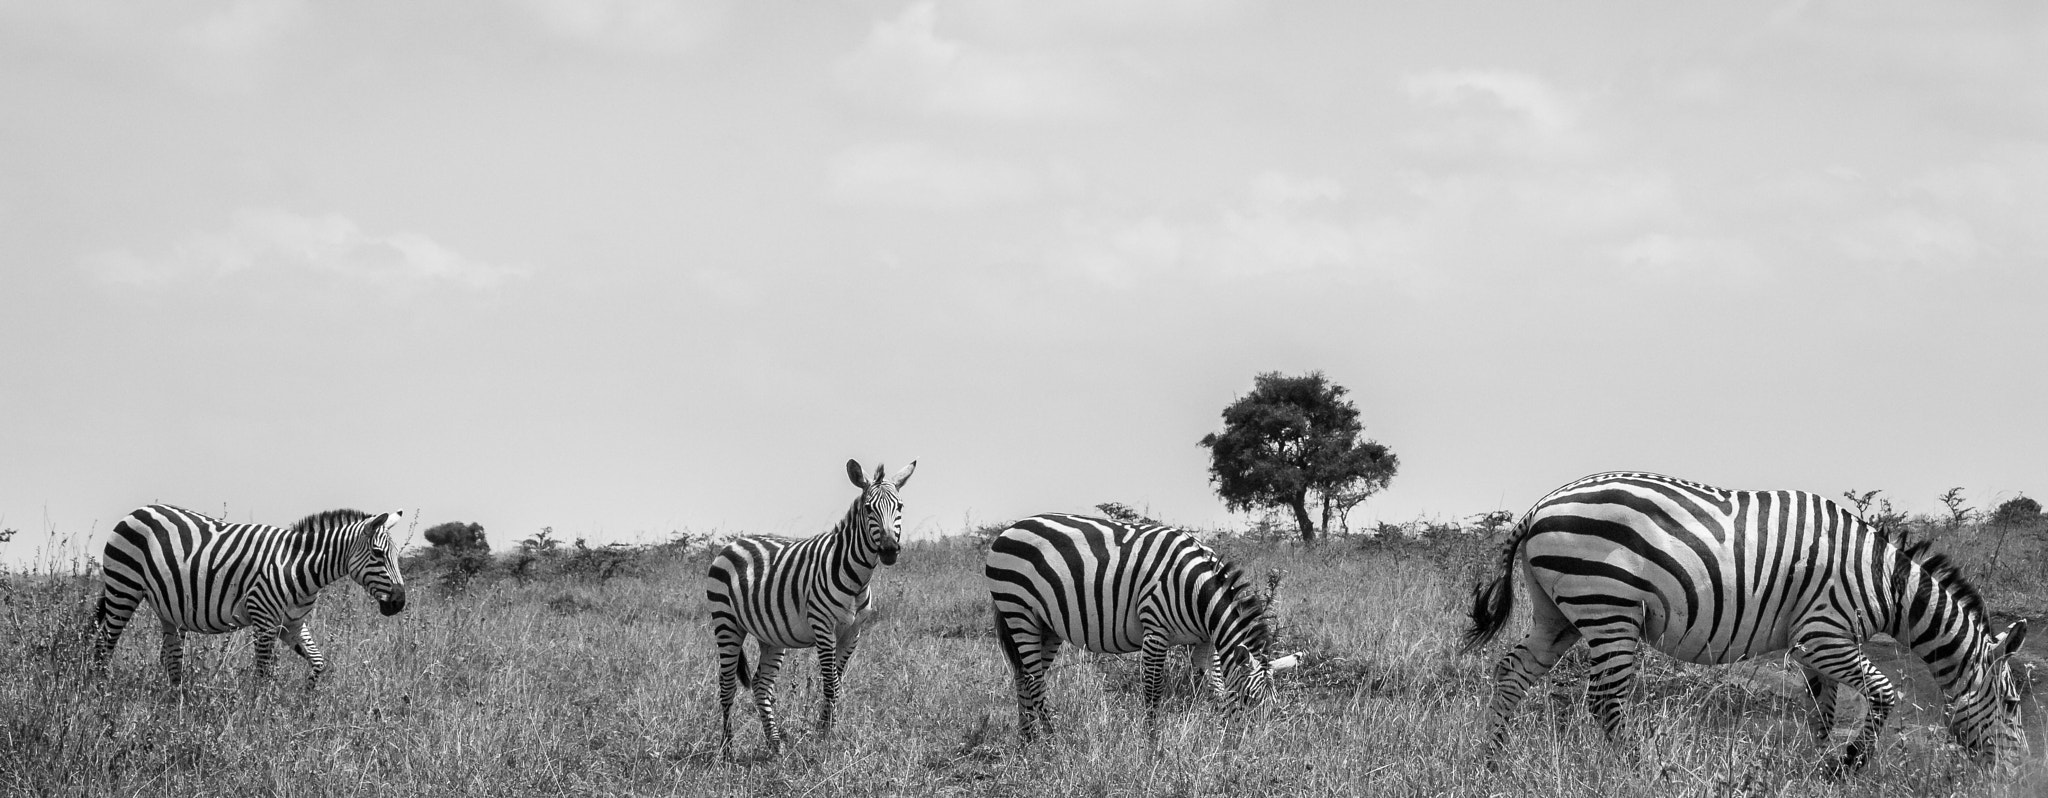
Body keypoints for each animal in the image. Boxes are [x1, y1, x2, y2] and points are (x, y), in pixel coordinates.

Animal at [93, 504, 409, 684]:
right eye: (378, 554)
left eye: (395, 554)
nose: (399, 602)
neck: (298, 565)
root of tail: (138, 510)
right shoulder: (264, 619)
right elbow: (264, 674)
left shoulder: (293, 624)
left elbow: (318, 663)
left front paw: (308, 703)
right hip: (123, 587)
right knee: (103, 646)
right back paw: (101, 695)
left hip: (169, 610)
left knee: (172, 659)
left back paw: (176, 705)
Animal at [705, 459, 916, 754]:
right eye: (868, 509)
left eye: (900, 507)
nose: (888, 550)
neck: (856, 578)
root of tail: (734, 542)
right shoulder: (823, 627)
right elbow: (830, 684)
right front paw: (827, 736)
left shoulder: (853, 633)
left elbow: (837, 681)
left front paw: (826, 730)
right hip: (726, 622)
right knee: (727, 685)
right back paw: (727, 749)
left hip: (770, 635)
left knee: (760, 685)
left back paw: (775, 744)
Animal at [984, 513, 1302, 742]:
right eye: (1250, 700)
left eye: (1273, 707)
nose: (1254, 750)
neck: (1198, 591)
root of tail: (1010, 528)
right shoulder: (1155, 631)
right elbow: (1153, 689)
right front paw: (1152, 744)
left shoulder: (1204, 641)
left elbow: (1216, 686)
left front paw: (1222, 737)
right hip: (1019, 610)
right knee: (1034, 679)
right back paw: (1052, 740)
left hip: (1046, 625)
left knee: (1024, 676)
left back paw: (1028, 741)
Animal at [1464, 472, 2028, 773]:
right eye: (2013, 704)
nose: (2017, 775)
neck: (1884, 582)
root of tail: (1540, 505)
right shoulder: (1824, 635)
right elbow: (1884, 693)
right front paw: (1848, 765)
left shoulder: (1815, 645)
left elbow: (1823, 712)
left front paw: (1812, 769)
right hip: (1609, 608)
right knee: (1605, 700)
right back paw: (1643, 769)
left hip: (1557, 611)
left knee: (1512, 672)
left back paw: (1492, 761)